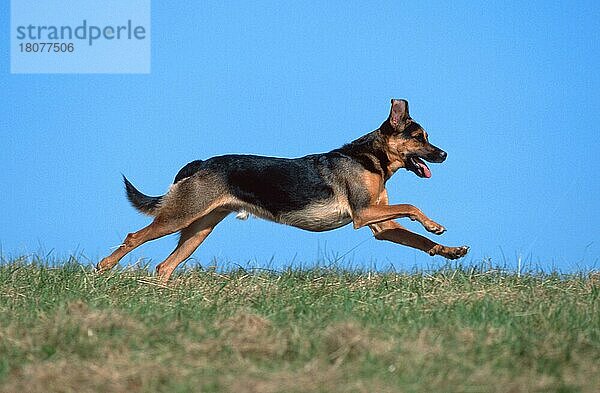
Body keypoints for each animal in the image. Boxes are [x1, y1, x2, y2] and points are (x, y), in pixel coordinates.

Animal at [96, 99, 468, 280]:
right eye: (419, 138)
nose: (445, 155)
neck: (371, 160)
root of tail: (200, 163)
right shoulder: (364, 214)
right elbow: (412, 206)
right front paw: (434, 224)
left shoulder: (382, 225)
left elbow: (419, 241)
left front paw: (449, 250)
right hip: (179, 217)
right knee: (133, 237)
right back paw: (103, 268)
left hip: (198, 229)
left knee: (165, 266)